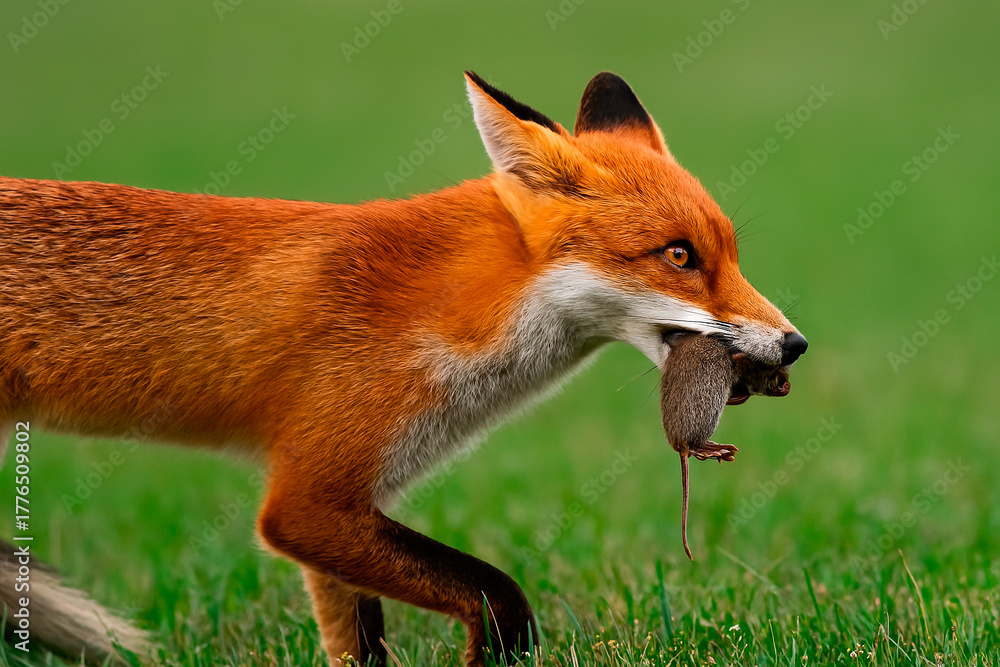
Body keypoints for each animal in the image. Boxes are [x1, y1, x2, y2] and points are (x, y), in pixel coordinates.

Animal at [0, 71, 807, 666]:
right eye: (680, 255)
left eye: (729, 253)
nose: (795, 343)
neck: (449, 313)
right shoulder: (308, 499)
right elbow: (496, 595)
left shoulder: (336, 511)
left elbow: (359, 646)